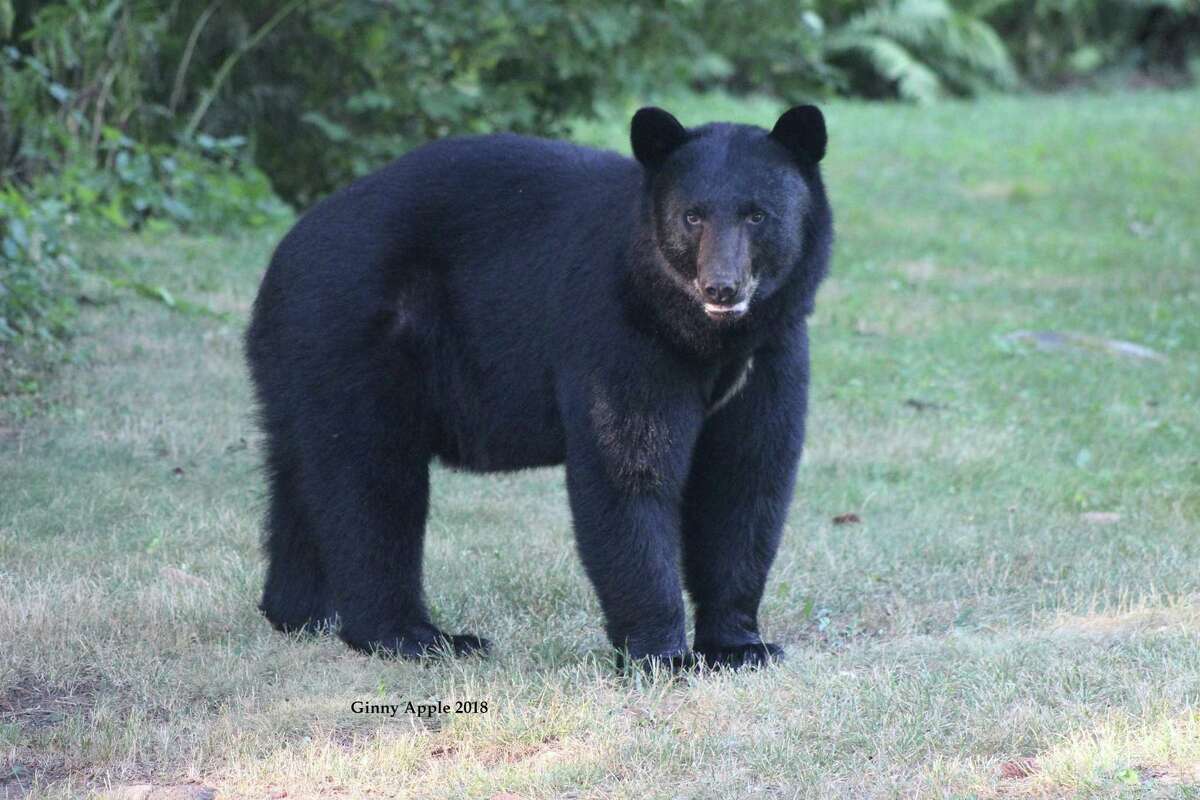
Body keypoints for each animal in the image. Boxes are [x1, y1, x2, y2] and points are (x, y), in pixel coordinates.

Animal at [244, 106, 835, 671]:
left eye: (757, 214)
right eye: (693, 215)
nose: (721, 287)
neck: (706, 339)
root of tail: (285, 252)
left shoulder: (771, 352)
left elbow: (746, 477)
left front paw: (740, 646)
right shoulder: (617, 333)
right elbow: (629, 468)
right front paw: (662, 655)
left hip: (299, 364)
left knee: (300, 473)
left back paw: (299, 612)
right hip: (357, 336)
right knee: (372, 480)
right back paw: (415, 636)